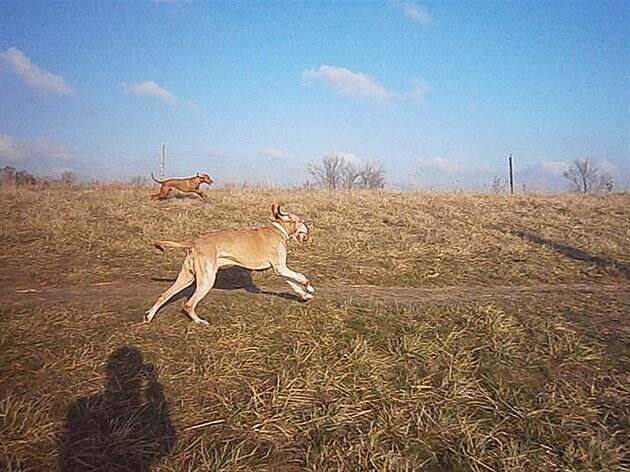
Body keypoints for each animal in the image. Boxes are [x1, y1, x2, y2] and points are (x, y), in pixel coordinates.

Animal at [148, 205, 316, 326]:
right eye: (301, 221)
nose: (309, 232)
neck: (278, 230)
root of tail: (195, 242)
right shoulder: (280, 267)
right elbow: (300, 277)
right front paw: (309, 287)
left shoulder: (281, 270)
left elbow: (293, 283)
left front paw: (304, 294)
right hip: (206, 281)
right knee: (189, 304)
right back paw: (200, 321)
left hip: (186, 278)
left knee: (164, 295)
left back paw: (149, 316)